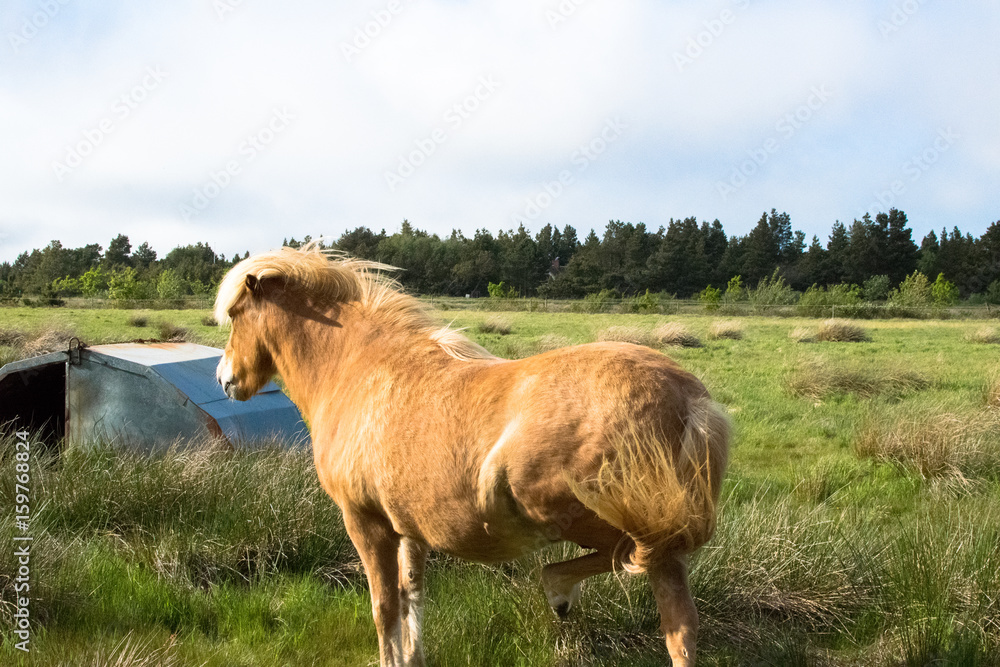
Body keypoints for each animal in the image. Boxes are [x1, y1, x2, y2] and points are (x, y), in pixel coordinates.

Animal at [214, 246, 729, 667]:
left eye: (236, 315)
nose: (224, 379)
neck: (357, 369)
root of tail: (688, 396)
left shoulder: (366, 523)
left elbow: (384, 608)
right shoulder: (409, 527)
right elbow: (411, 597)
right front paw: (413, 659)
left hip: (590, 513)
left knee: (641, 556)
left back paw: (558, 589)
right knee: (679, 626)